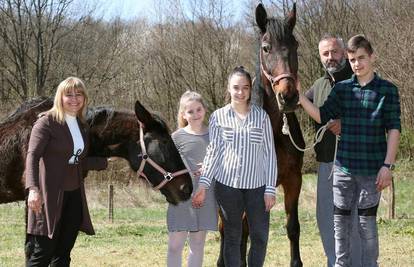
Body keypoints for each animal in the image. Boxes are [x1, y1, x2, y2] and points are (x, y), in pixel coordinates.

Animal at [217, 3, 304, 267]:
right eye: (266, 47)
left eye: (295, 45)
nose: (288, 96)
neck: (273, 130)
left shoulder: (293, 180)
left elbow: (292, 227)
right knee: (228, 230)